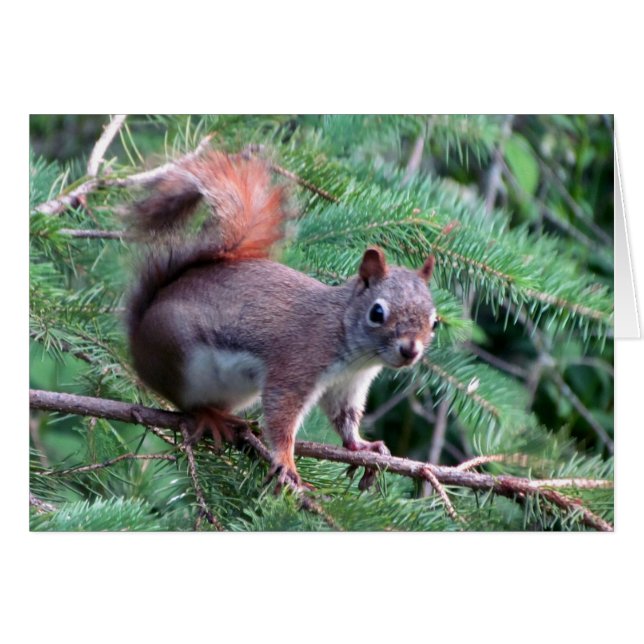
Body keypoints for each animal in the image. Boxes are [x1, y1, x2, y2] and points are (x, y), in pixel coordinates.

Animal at [126, 150, 439, 489]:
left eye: (435, 321)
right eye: (377, 313)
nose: (410, 350)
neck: (350, 344)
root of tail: (138, 336)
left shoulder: (346, 386)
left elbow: (344, 420)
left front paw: (363, 446)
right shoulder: (295, 366)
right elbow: (281, 416)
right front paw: (286, 462)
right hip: (180, 356)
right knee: (183, 401)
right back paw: (210, 417)